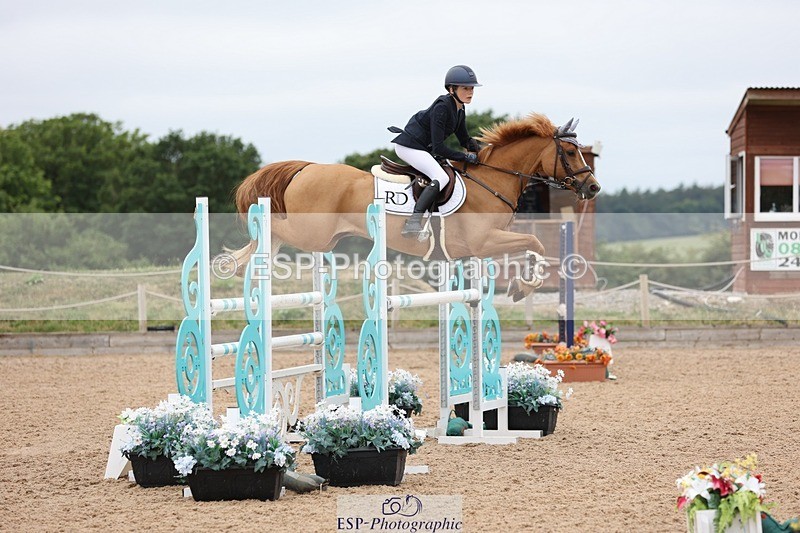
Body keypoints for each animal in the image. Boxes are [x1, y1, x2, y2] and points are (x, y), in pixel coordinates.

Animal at [231, 113, 601, 301]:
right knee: (272, 229)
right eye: (570, 153)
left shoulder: (485, 246)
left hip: (323, 238)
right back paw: (239, 261)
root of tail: (306, 168)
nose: (593, 187)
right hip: (313, 234)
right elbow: (535, 243)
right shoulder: (484, 242)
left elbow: (533, 247)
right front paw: (524, 286)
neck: (491, 179)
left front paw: (521, 284)